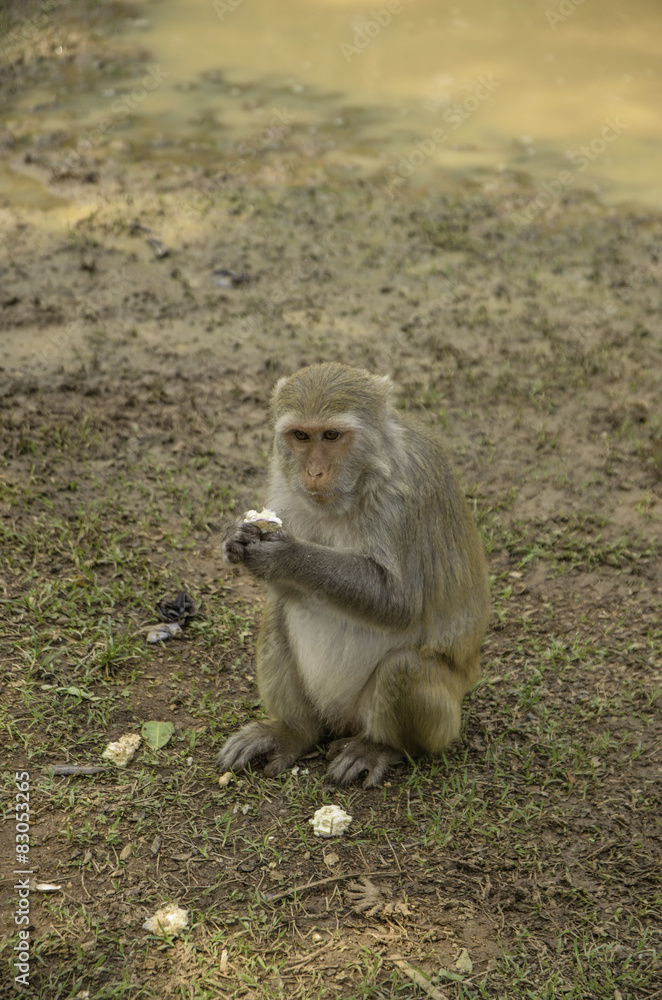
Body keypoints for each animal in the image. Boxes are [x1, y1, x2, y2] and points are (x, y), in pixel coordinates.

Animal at [217, 362, 490, 787]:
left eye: (331, 435)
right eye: (300, 436)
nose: (314, 471)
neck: (362, 479)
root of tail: (342, 722)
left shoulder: (403, 498)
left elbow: (399, 602)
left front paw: (285, 556)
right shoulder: (283, 480)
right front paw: (236, 539)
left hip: (438, 717)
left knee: (404, 668)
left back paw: (382, 748)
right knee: (277, 615)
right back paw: (293, 732)